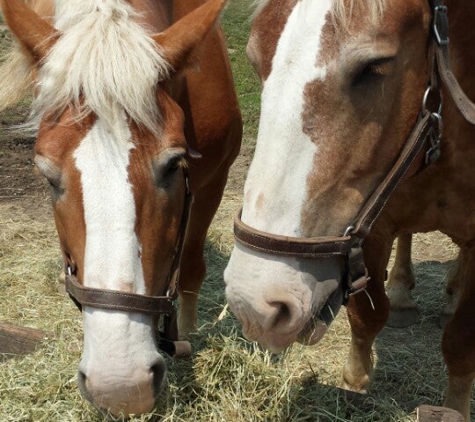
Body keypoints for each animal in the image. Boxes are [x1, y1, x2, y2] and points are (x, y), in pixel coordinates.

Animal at [0, 0, 242, 418]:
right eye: (46, 176)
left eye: (173, 164)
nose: (121, 386)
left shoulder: (215, 179)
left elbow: (192, 269)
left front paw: (188, 336)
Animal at [226, 0, 475, 418]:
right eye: (254, 59)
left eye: (374, 67)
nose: (255, 305)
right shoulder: (372, 227)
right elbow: (367, 317)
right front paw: (355, 387)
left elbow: (460, 343)